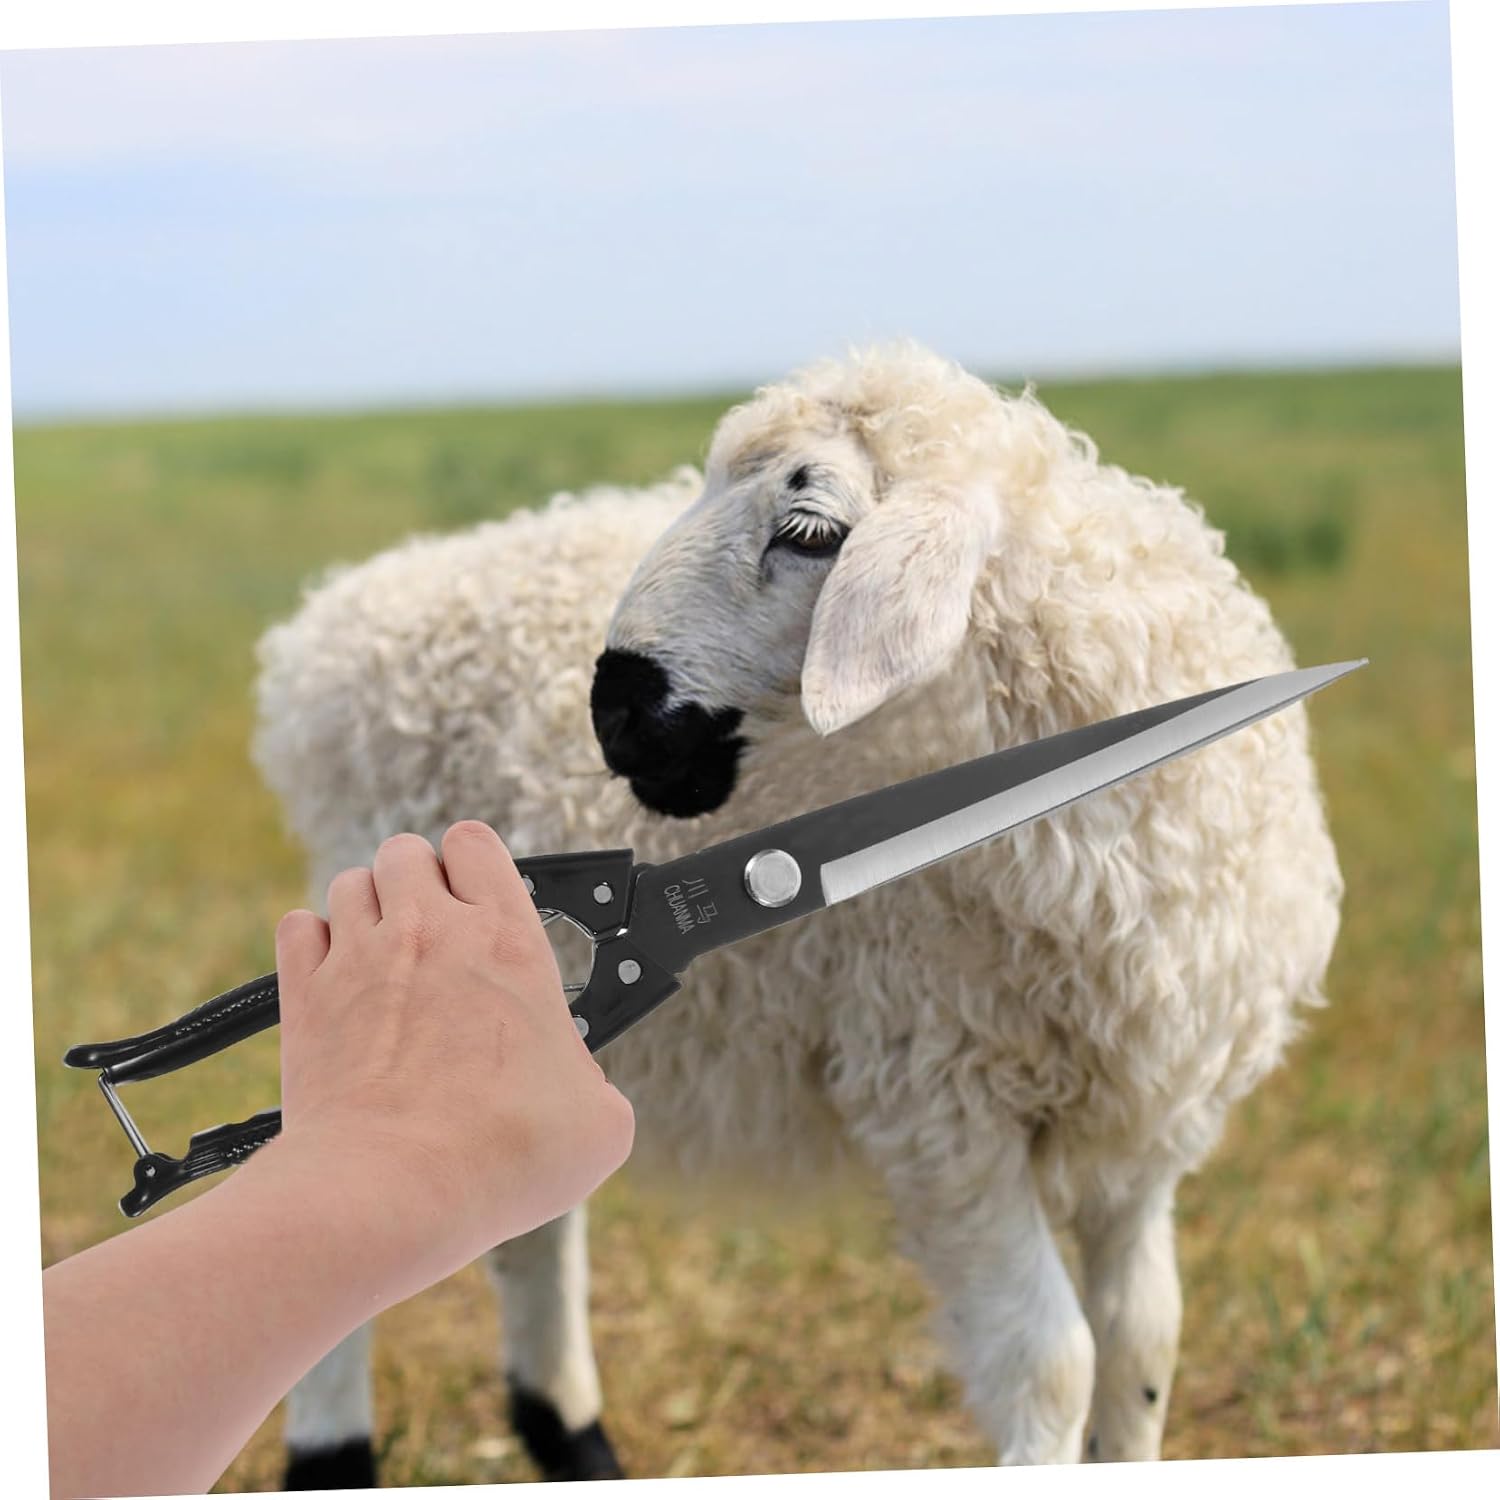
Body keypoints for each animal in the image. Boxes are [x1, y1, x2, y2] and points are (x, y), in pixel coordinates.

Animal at [253, 343, 1343, 1485]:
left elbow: (1143, 1343)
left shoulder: (1145, 1120)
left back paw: (572, 1437)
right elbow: (1053, 1365)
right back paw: (335, 1454)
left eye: (811, 532)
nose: (613, 712)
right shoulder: (936, 1100)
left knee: (529, 1227)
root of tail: (332, 628)